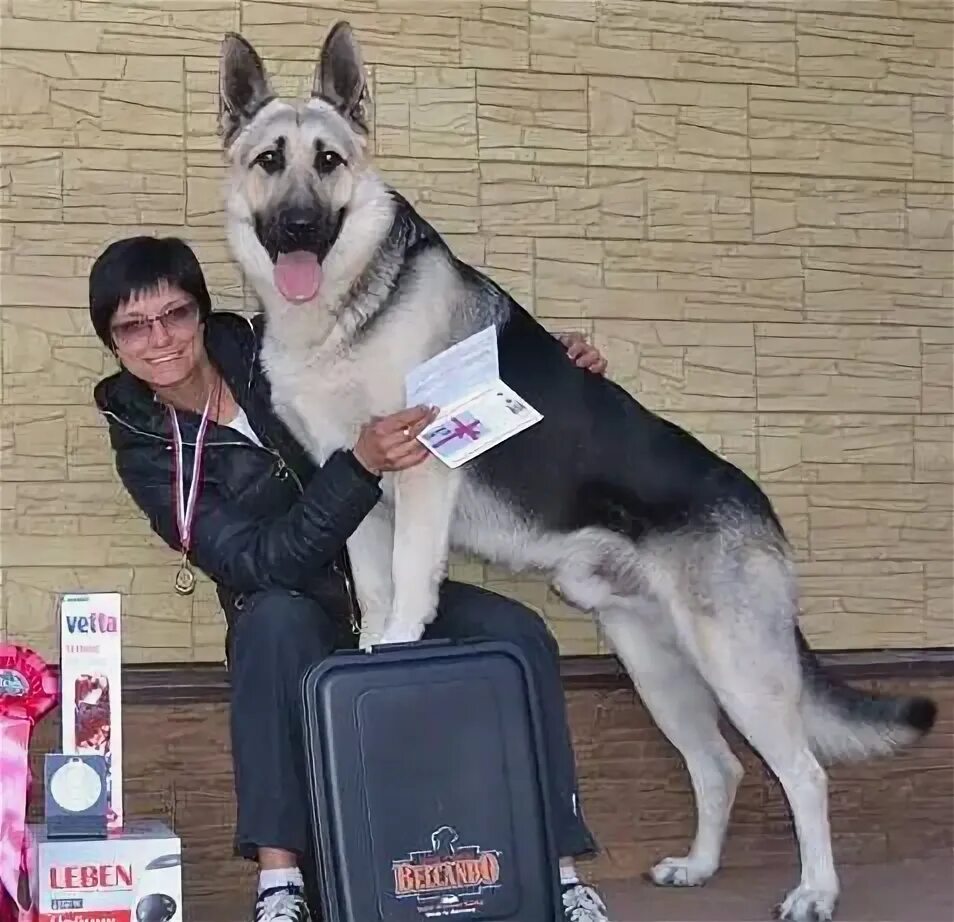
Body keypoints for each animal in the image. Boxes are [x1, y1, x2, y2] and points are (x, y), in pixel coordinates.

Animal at [218, 21, 936, 920]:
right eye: (269, 161)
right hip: (656, 666)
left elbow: (409, 586)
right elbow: (376, 590)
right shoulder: (356, 492)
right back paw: (700, 867)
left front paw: (396, 650)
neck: (346, 304)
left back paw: (815, 890)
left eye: (327, 161)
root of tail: (759, 506)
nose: (299, 230)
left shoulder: (420, 474)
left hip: (735, 668)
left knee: (802, 771)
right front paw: (372, 645)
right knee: (720, 767)